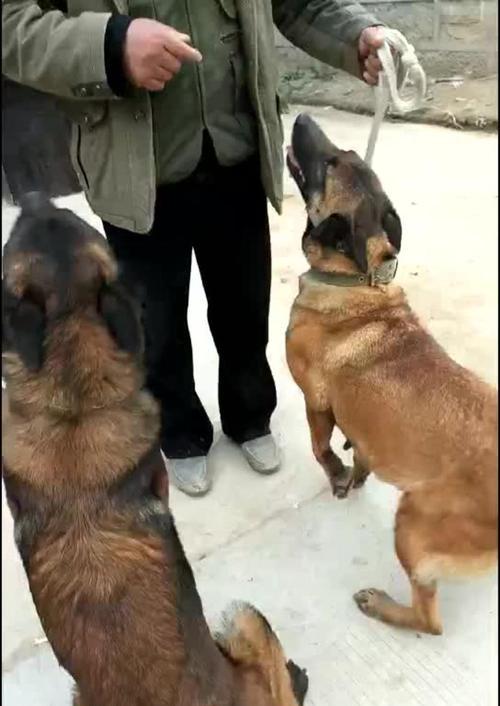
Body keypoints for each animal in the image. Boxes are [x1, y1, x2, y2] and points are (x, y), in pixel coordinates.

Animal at [284, 114, 498, 632]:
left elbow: (320, 447)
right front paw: (356, 470)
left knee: (429, 620)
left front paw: (338, 475)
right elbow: (357, 449)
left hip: (413, 523)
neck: (355, 279)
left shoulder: (315, 400)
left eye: (330, 163)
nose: (300, 117)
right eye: (343, 156)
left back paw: (381, 605)